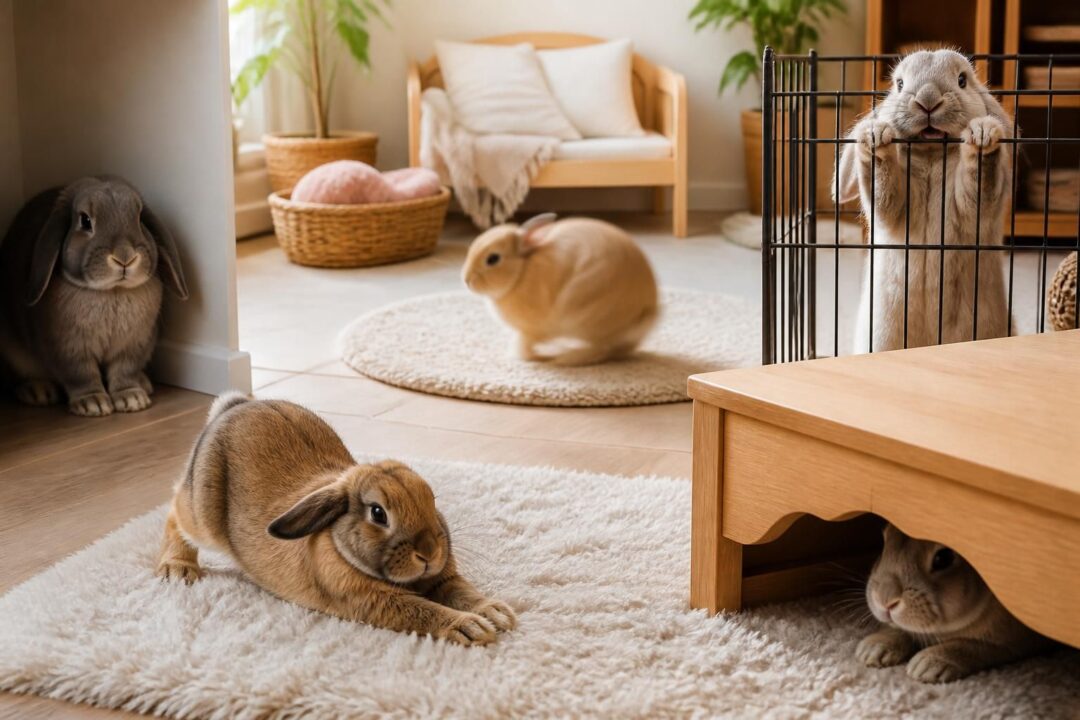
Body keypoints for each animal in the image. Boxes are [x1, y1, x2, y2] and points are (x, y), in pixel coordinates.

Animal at [0, 176, 188, 416]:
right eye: (85, 221)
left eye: (138, 217)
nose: (125, 257)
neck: (111, 291)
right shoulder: (69, 350)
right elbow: (81, 376)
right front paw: (93, 404)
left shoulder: (133, 346)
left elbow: (124, 371)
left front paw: (132, 399)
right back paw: (38, 391)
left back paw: (144, 383)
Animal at [156, 392, 517, 647]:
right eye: (378, 513)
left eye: (432, 499)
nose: (429, 553)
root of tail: (232, 407)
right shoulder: (372, 599)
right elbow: (421, 611)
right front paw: (471, 627)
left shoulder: (441, 578)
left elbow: (460, 590)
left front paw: (496, 613)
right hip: (202, 513)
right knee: (174, 512)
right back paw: (177, 569)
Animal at [462, 213, 659, 366]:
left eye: (493, 259)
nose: (466, 280)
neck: (521, 272)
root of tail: (646, 310)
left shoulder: (531, 331)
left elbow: (525, 346)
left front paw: (527, 357)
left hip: (586, 317)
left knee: (601, 349)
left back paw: (565, 358)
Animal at [833, 50, 1013, 354]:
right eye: (899, 84)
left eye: (962, 80)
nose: (927, 99)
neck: (931, 156)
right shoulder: (892, 212)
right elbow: (882, 183)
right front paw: (875, 136)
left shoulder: (972, 205)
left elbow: (979, 177)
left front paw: (982, 134)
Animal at [857, 524, 1052, 683]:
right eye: (884, 543)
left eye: (943, 558)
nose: (884, 600)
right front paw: (873, 648)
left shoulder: (1013, 643)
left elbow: (972, 646)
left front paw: (926, 665)